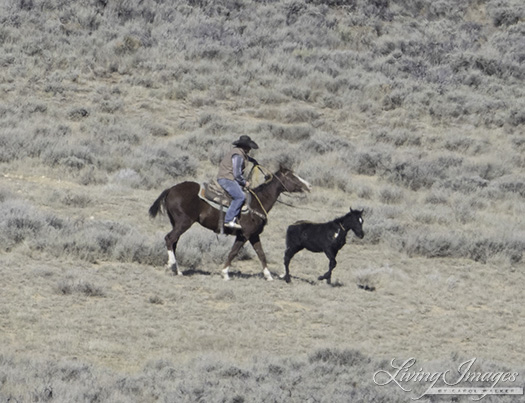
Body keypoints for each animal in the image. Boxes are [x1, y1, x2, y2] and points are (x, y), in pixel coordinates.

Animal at [148, 166, 312, 280]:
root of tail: (170, 189)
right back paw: (171, 266)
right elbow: (234, 252)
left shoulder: (254, 235)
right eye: (292, 176)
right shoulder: (244, 235)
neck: (257, 202)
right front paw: (225, 273)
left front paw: (268, 276)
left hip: (177, 223)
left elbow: (261, 254)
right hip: (184, 222)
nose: (308, 186)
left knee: (174, 241)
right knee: (169, 239)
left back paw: (177, 270)